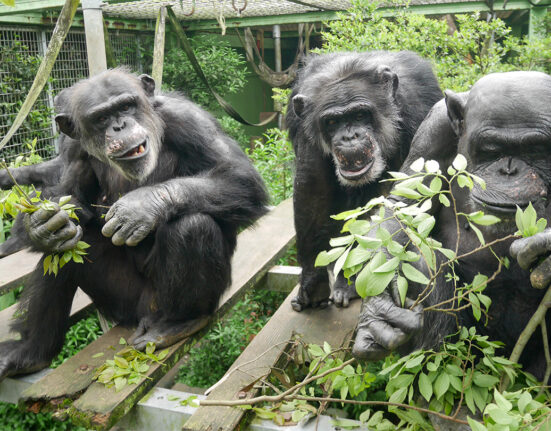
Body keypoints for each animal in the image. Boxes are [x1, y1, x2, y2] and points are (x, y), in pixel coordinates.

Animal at [0, 69, 270, 380]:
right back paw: (30, 352)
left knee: (193, 226)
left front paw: (140, 207)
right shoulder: (72, 147)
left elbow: (239, 175)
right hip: (122, 302)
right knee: (65, 249)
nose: (120, 126)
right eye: (101, 118)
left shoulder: (188, 119)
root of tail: (145, 314)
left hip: (165, 302)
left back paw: (179, 323)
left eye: (126, 106)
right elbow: (67, 195)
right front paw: (42, 224)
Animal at [286, 52, 442, 312]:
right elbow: (312, 187)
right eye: (332, 122)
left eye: (360, 115)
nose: (350, 137)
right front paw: (312, 281)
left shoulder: (417, 109)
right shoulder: (305, 129)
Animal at [354, 71, 551, 384]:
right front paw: (376, 313)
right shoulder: (434, 130)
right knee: (422, 261)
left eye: (536, 150)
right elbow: (403, 205)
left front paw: (544, 249)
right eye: (491, 150)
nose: (509, 169)